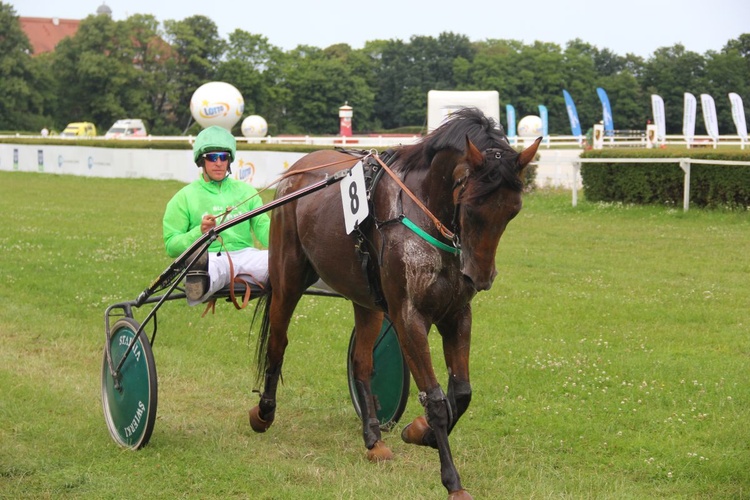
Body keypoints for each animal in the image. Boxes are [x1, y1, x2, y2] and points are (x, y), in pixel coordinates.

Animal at [251, 107, 540, 498]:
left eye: (512, 211)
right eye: (472, 206)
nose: (479, 278)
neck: (424, 214)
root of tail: (298, 169)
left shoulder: (456, 314)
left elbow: (461, 392)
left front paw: (421, 432)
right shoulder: (408, 318)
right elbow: (436, 399)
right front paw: (451, 479)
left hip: (367, 301)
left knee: (362, 362)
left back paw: (373, 439)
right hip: (288, 279)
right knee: (278, 342)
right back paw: (264, 413)